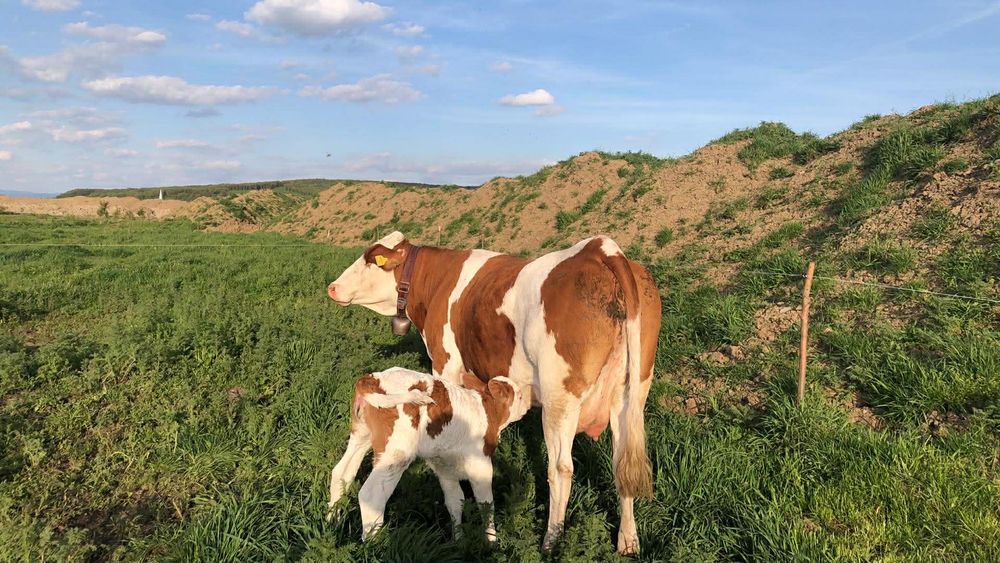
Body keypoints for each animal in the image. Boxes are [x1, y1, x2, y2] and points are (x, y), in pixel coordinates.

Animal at [328, 367, 524, 542]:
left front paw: (458, 541)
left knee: (341, 473)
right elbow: (486, 504)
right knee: (371, 495)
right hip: (396, 453)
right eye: (518, 394)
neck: (485, 410)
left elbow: (455, 501)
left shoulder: (445, 467)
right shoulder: (481, 465)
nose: (526, 401)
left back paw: (332, 523)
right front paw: (491, 543)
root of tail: (372, 378)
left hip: (361, 435)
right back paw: (374, 544)